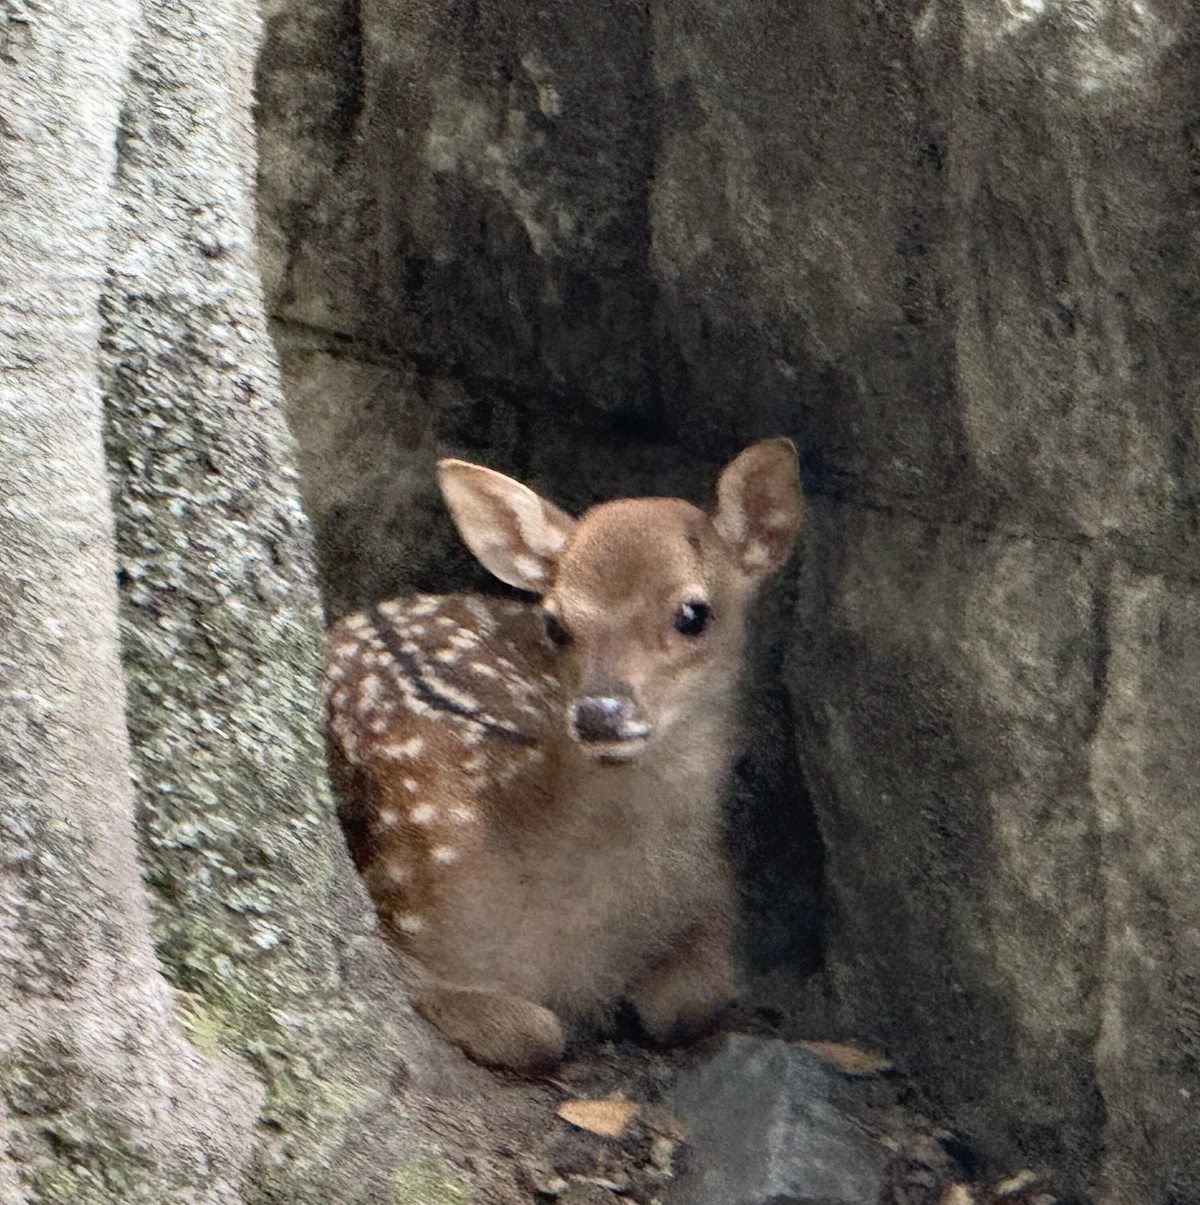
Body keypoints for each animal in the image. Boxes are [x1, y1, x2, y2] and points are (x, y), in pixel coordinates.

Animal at [324, 438, 805, 1073]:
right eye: (555, 622)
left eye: (693, 613)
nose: (600, 711)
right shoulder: (406, 933)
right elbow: (537, 1033)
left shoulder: (714, 890)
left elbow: (688, 1004)